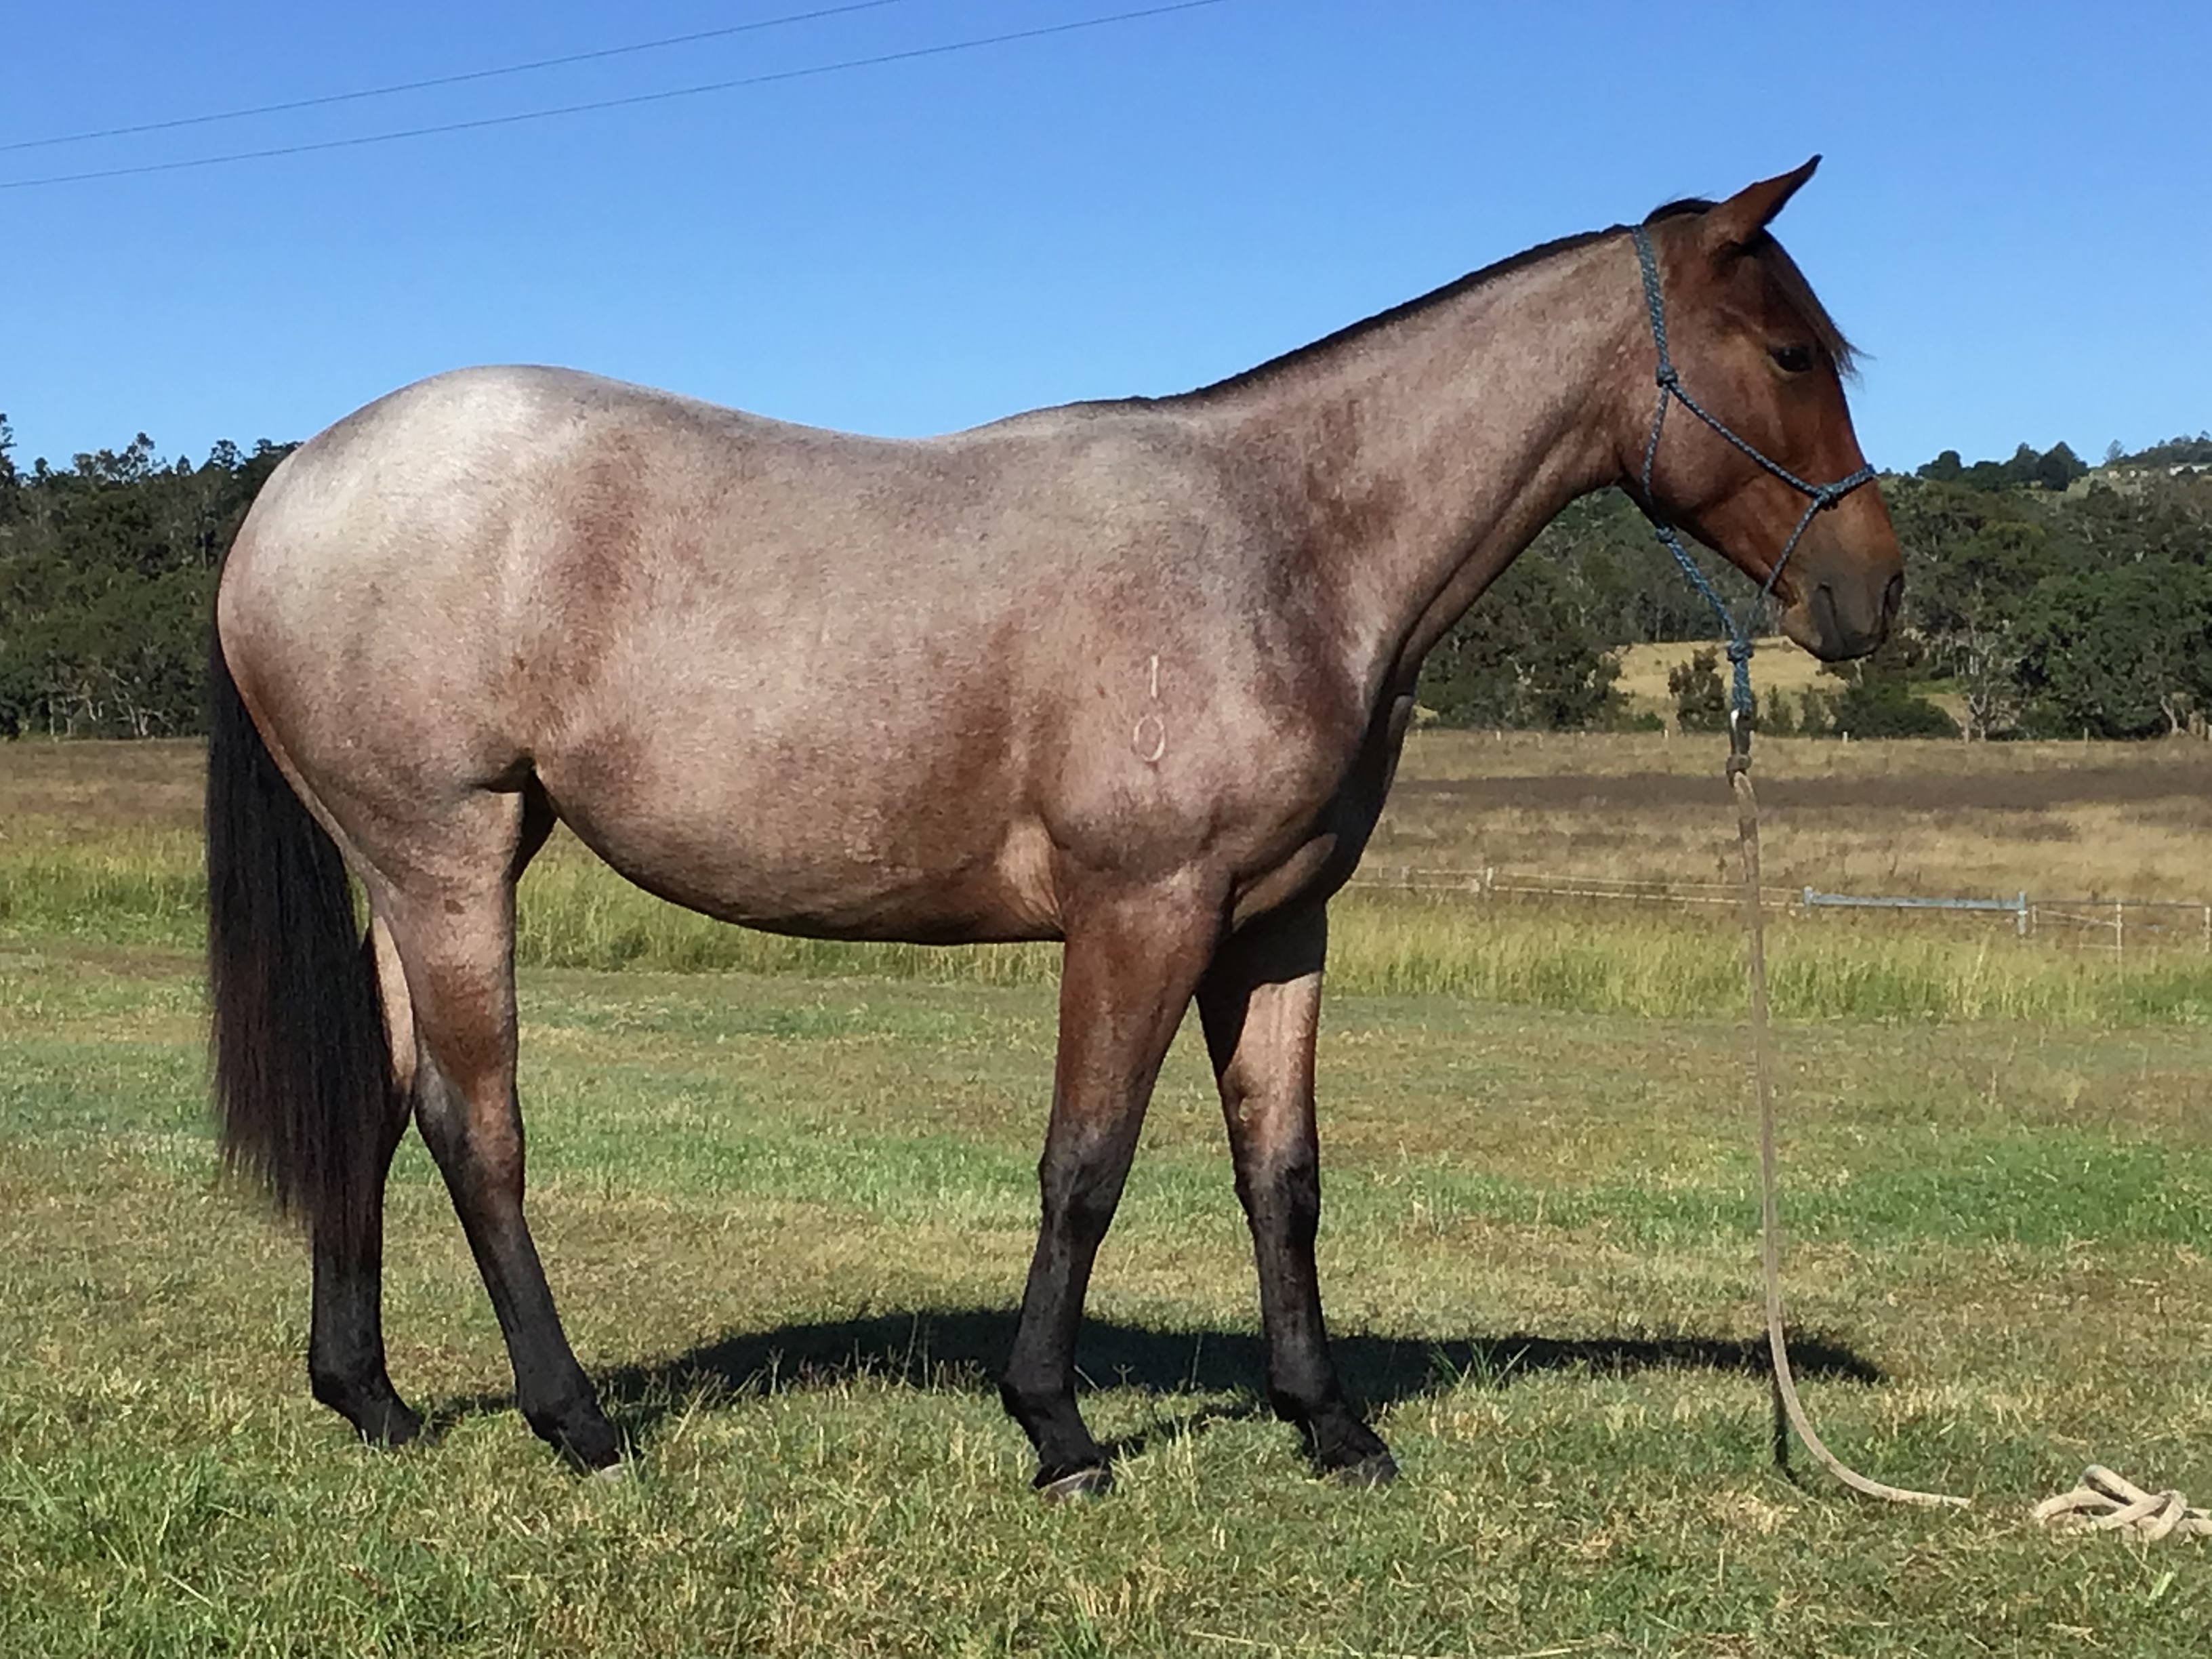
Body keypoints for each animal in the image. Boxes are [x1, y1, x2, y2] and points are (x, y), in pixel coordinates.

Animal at [207, 158, 1901, 1496]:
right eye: (1788, 348)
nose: (1873, 591)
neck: (1281, 543)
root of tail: (299, 486)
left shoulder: (1278, 923)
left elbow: (1281, 1172)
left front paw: (1329, 1424)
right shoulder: (1144, 910)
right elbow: (1086, 1162)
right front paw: (1058, 1430)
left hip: (414, 874)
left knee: (374, 1106)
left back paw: (372, 1400)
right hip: (449, 860)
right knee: (473, 1124)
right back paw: (573, 1420)